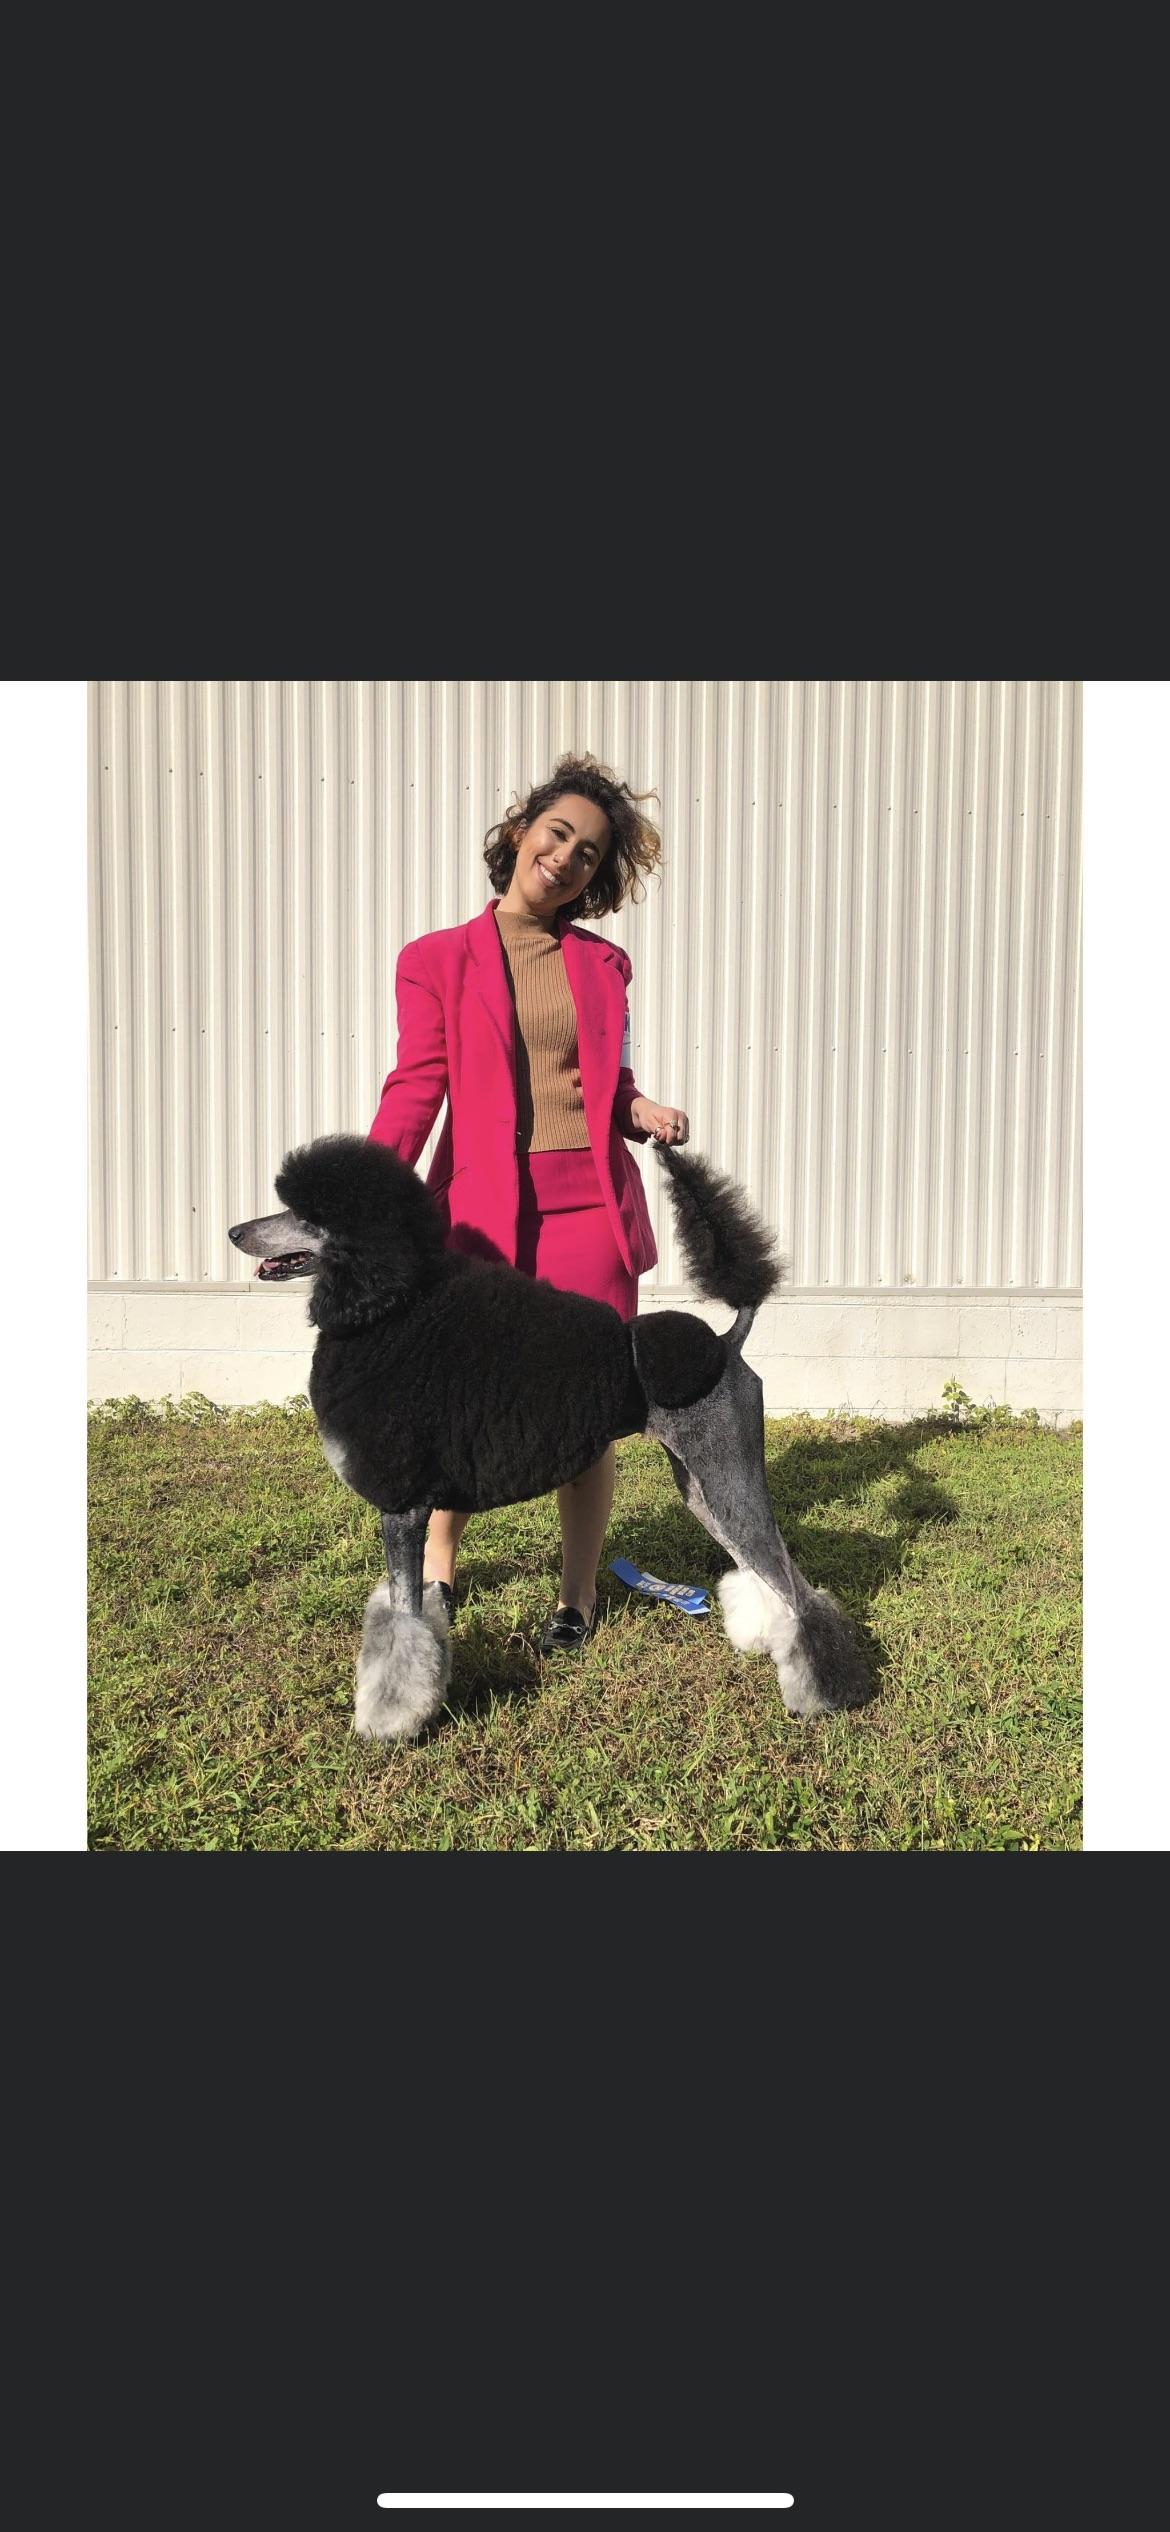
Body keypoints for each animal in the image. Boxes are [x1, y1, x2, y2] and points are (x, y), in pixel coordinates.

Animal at [228, 1136, 870, 1739]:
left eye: (308, 1216)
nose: (235, 1231)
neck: (389, 1312)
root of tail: (726, 1343)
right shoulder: (408, 1510)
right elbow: (406, 1606)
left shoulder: (403, 1507)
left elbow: (403, 1626)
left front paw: (392, 1721)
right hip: (702, 1485)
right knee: (766, 1573)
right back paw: (768, 1642)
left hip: (727, 1472)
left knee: (795, 1587)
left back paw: (825, 1694)